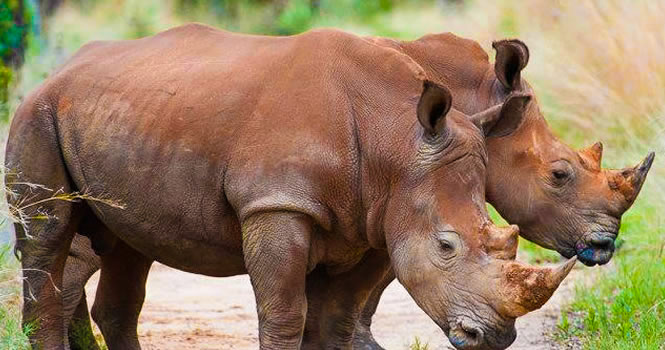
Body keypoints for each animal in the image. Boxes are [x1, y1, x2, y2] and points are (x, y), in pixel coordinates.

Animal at [6, 25, 576, 350]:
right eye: (446, 246)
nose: (495, 337)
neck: (394, 142)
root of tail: (58, 69)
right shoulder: (277, 205)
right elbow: (284, 315)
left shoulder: (374, 220)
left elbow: (333, 322)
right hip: (38, 114)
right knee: (47, 235)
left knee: (129, 247)